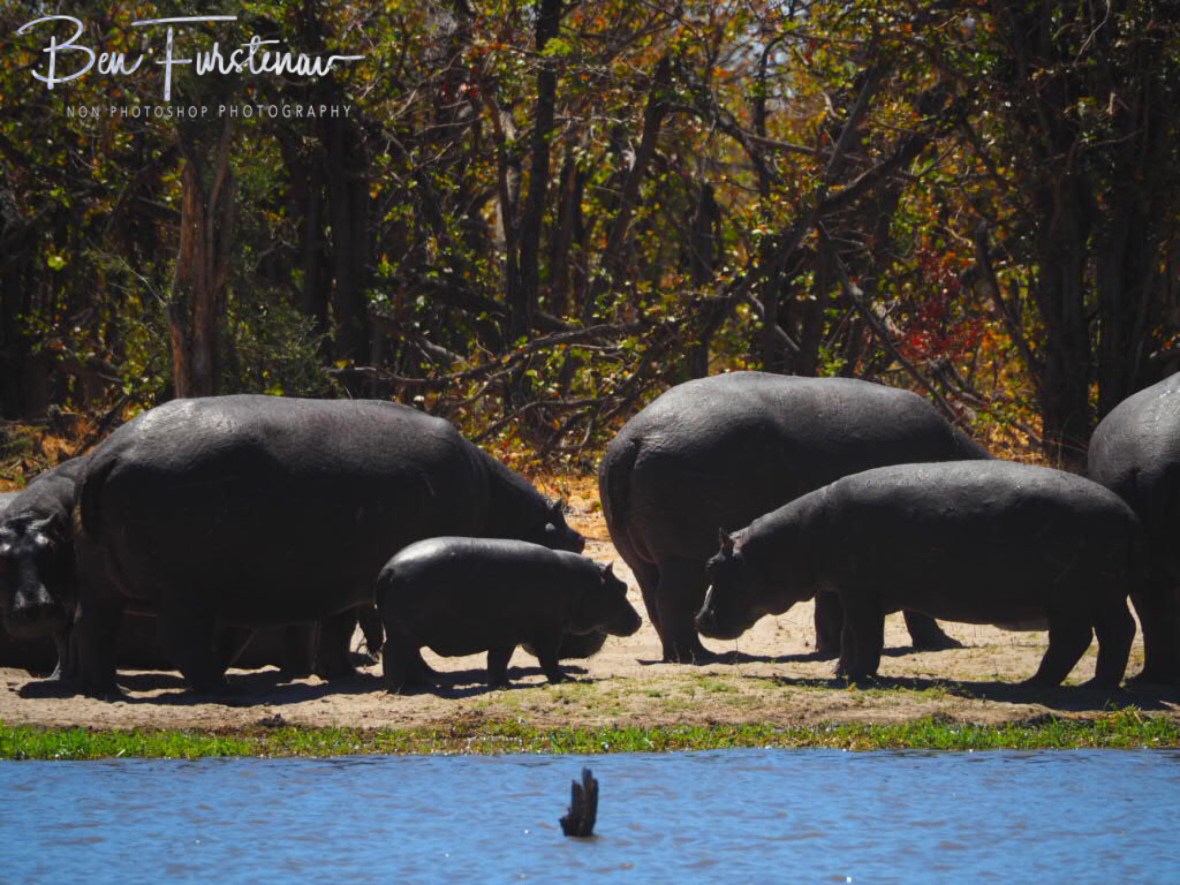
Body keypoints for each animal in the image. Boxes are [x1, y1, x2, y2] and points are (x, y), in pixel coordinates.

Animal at [71, 395, 585, 696]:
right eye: (575, 541)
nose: (577, 646)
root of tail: (107, 454)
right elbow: (393, 635)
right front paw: (424, 678)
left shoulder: (349, 581)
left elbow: (338, 627)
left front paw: (344, 675)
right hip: (184, 593)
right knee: (180, 644)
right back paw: (220, 690)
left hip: (103, 586)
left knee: (94, 631)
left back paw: (108, 691)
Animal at [377, 537, 642, 691]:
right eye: (622, 587)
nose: (640, 620)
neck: (583, 584)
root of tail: (389, 569)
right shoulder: (549, 633)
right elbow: (549, 659)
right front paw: (565, 679)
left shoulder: (505, 636)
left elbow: (498, 661)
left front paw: (502, 684)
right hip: (404, 634)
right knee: (392, 654)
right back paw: (398, 688)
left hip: (408, 634)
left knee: (409, 657)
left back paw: (422, 684)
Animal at [598, 372, 989, 663]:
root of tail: (634, 438)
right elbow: (915, 608)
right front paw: (943, 643)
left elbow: (828, 602)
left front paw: (829, 646)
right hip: (684, 557)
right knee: (674, 601)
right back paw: (699, 656)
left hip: (641, 559)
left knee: (654, 601)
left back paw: (684, 654)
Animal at [696, 461, 1141, 688]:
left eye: (712, 565)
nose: (699, 618)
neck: (791, 542)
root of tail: (1128, 513)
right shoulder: (853, 591)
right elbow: (854, 635)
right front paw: (844, 671)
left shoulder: (859, 591)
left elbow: (861, 634)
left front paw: (852, 675)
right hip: (1103, 595)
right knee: (1118, 632)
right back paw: (1097, 686)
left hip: (1071, 596)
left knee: (1073, 639)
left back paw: (1034, 686)